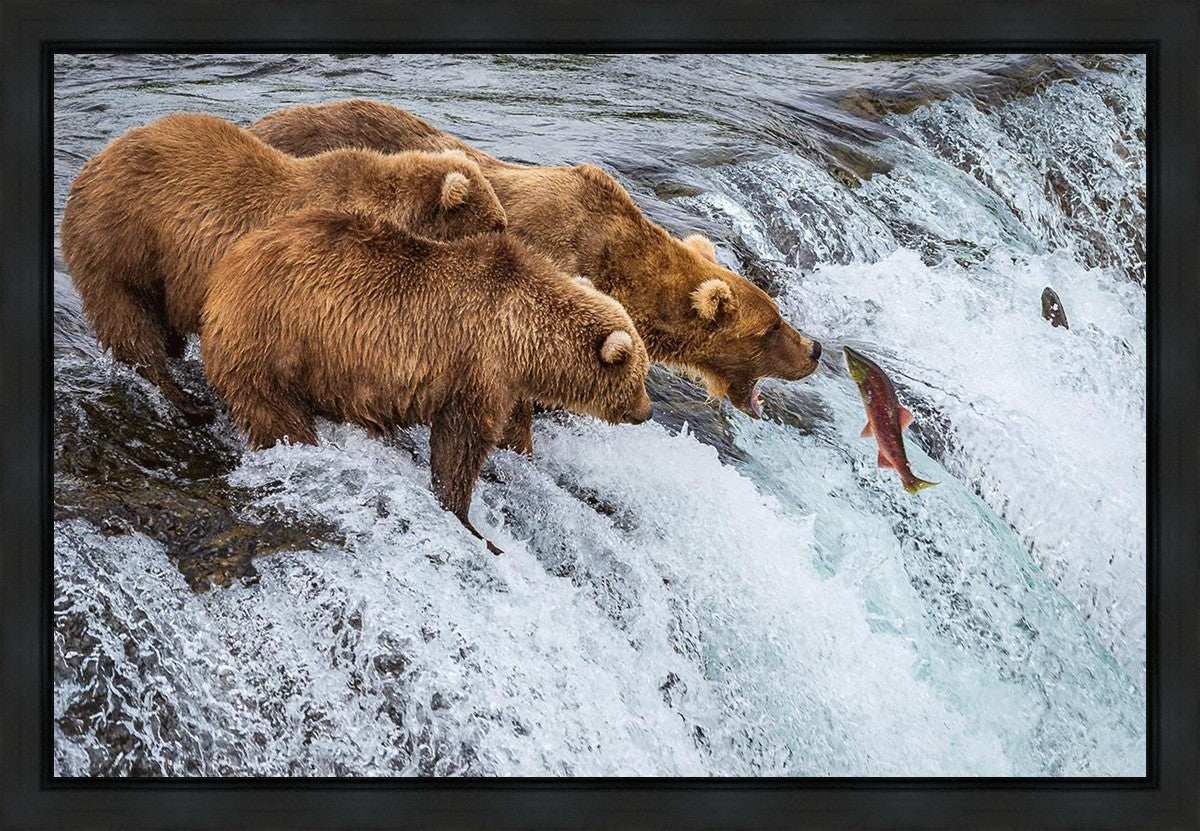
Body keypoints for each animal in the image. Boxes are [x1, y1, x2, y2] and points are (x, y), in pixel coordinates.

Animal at [60, 112, 508, 424]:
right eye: (496, 224)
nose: (509, 239)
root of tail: (92, 163)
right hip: (121, 242)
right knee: (129, 322)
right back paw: (187, 400)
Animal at [200, 207, 652, 555]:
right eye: (640, 376)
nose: (646, 412)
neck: (524, 336)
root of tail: (225, 269)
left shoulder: (506, 381)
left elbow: (511, 429)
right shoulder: (477, 364)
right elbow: (461, 443)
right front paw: (470, 522)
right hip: (274, 340)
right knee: (276, 413)